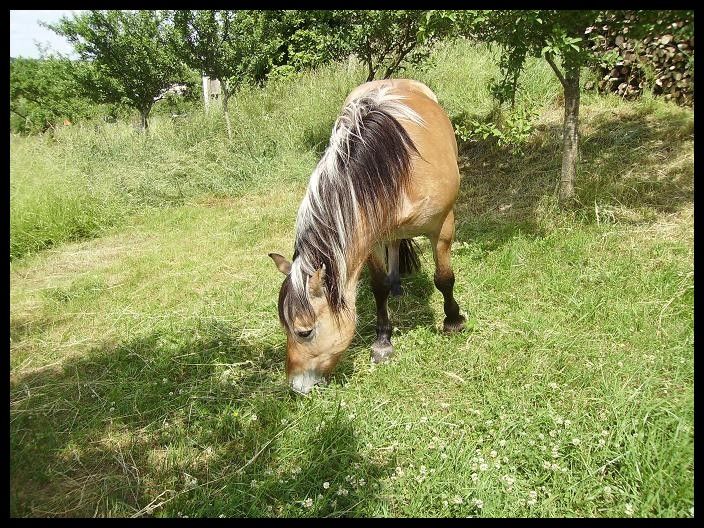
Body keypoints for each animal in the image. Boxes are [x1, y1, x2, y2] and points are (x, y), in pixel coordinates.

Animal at [269, 78, 465, 395]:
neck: (397, 166)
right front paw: (383, 340)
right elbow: (379, 286)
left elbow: (444, 278)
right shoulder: (369, 239)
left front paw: (453, 321)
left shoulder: (443, 227)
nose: (297, 387)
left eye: (305, 332)